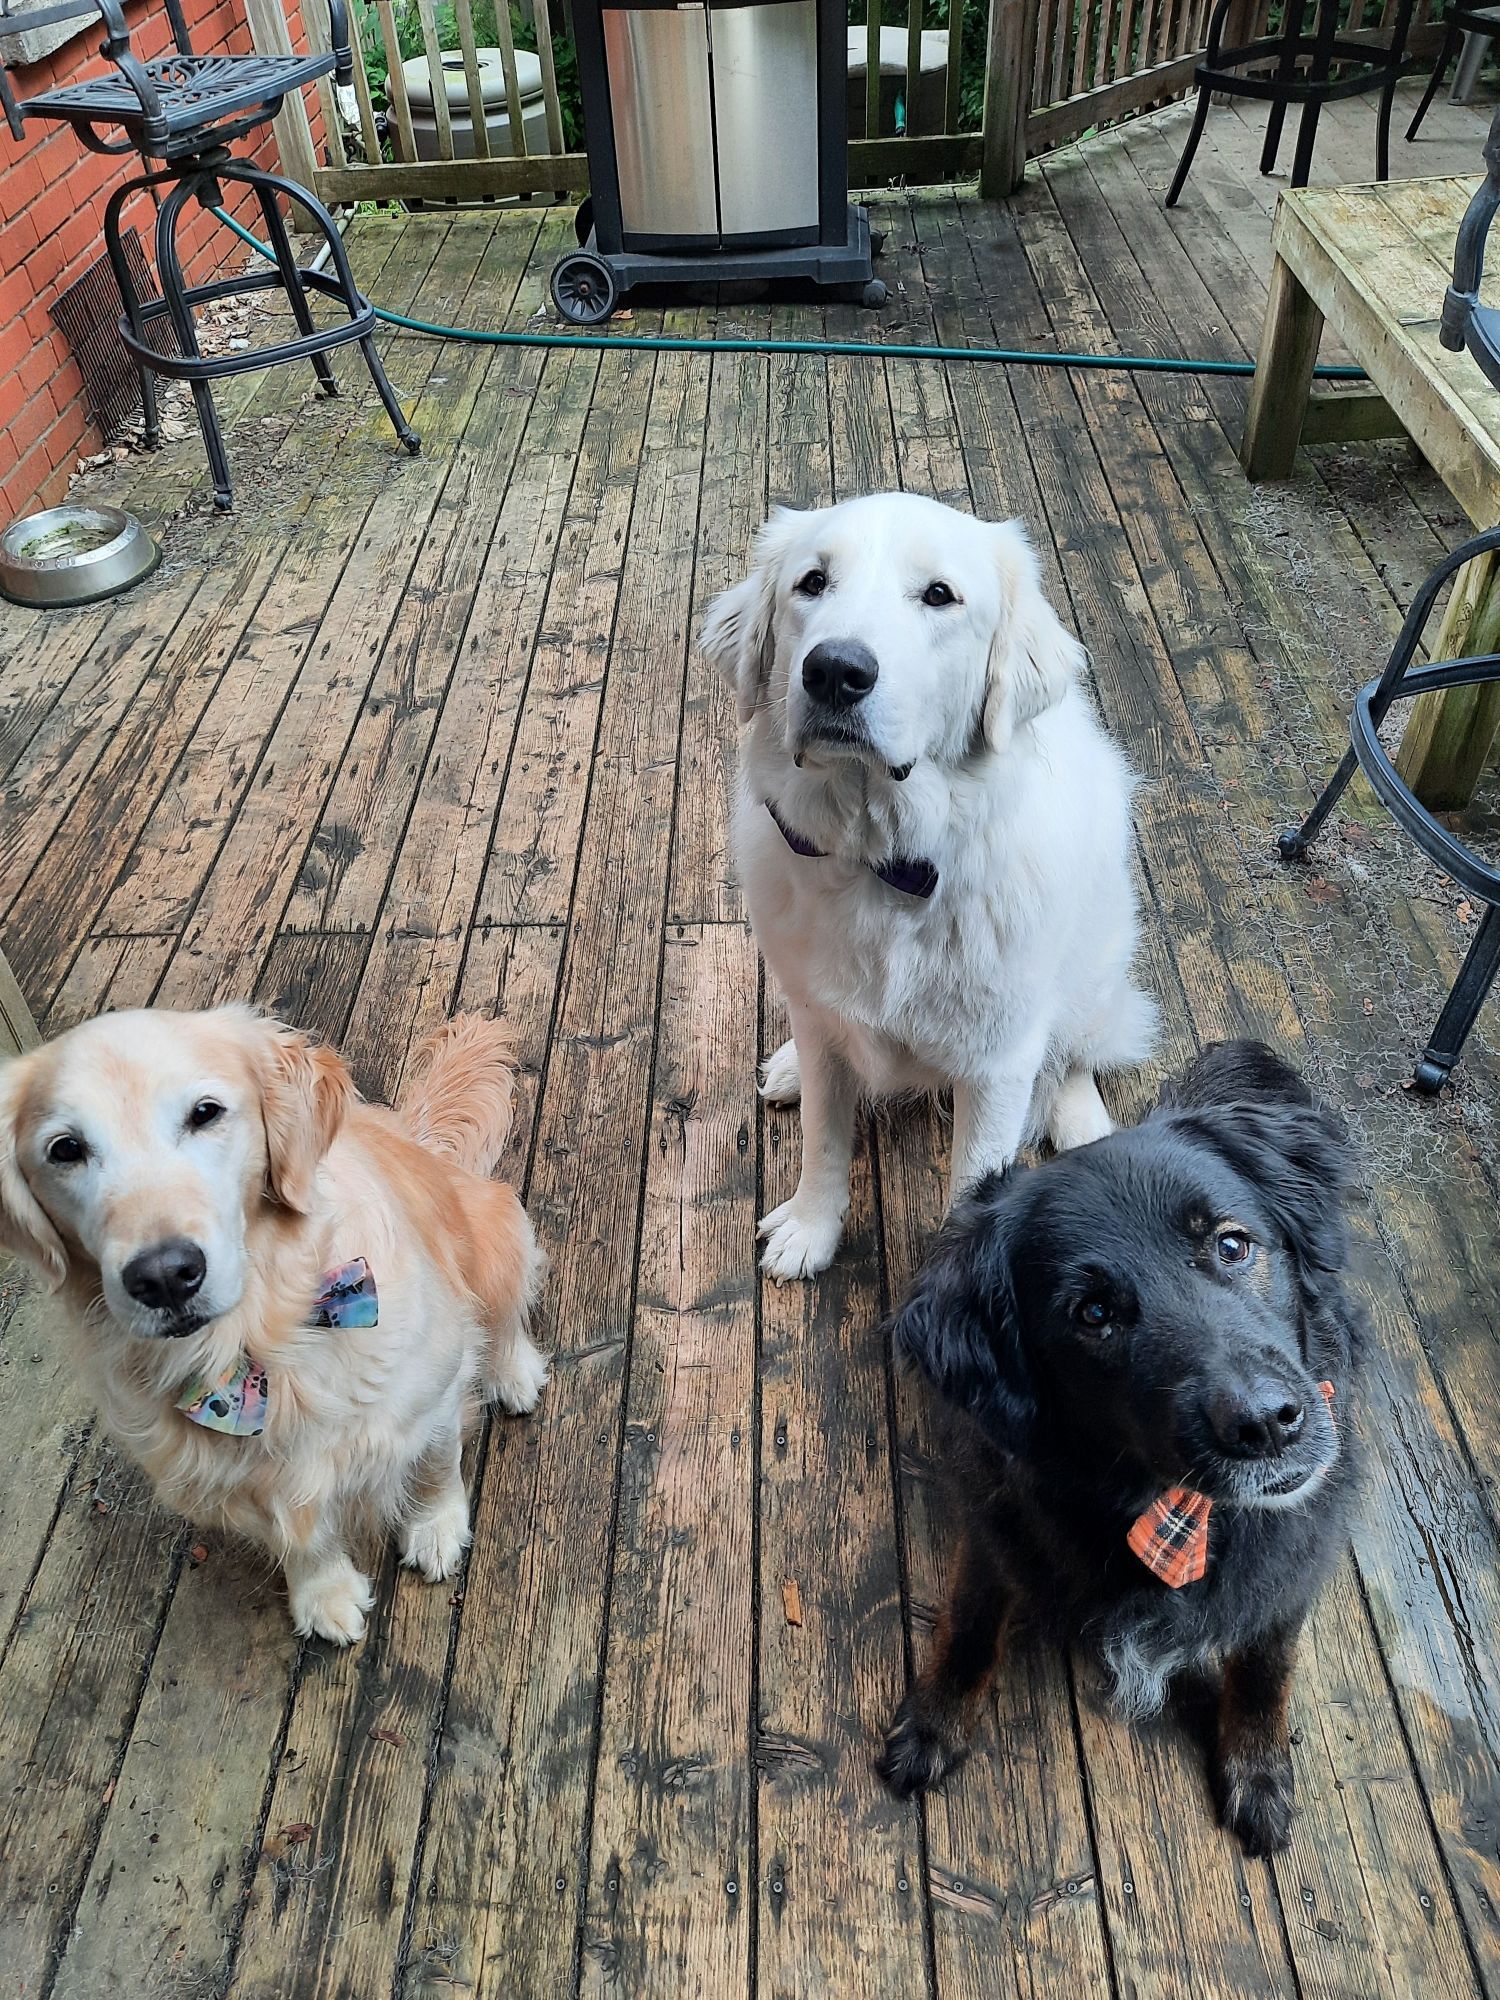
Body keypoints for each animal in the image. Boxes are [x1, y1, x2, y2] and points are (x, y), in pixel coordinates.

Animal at [700, 494, 1160, 1288]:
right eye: (812, 583)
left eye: (939, 596)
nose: (835, 671)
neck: (881, 860)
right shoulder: (825, 1025)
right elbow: (824, 1138)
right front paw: (810, 1229)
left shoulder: (998, 1067)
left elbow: (974, 1191)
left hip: (1097, 966)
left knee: (1075, 1053)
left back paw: (1082, 1124)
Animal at [876, 1040, 1368, 1848]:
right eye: (1094, 1313)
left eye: (1233, 1244)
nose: (1266, 1423)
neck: (1168, 1506)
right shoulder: (998, 1523)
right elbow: (971, 1623)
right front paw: (933, 1726)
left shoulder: (1292, 1565)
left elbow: (1266, 1663)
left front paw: (1259, 1772)